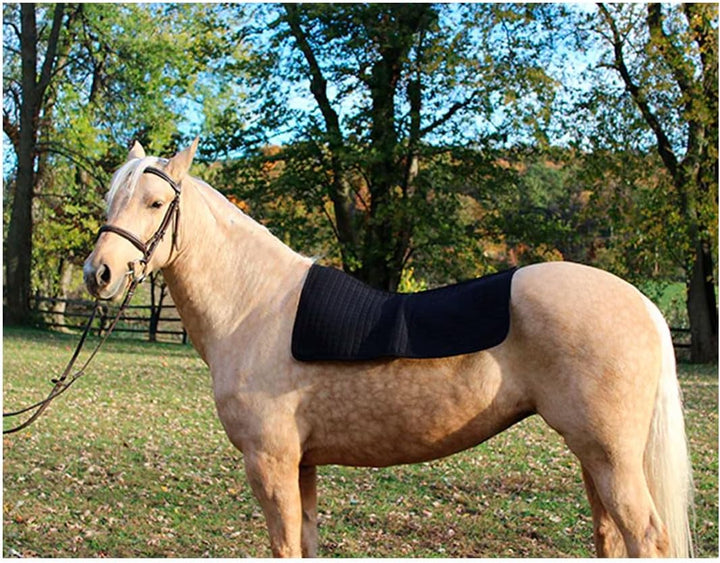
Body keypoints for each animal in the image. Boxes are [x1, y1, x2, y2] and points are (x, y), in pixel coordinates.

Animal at [83, 140, 693, 558]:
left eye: (155, 202)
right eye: (111, 200)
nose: (99, 274)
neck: (254, 306)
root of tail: (642, 302)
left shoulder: (270, 462)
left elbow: (285, 545)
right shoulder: (302, 464)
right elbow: (306, 543)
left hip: (610, 456)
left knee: (647, 537)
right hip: (594, 457)